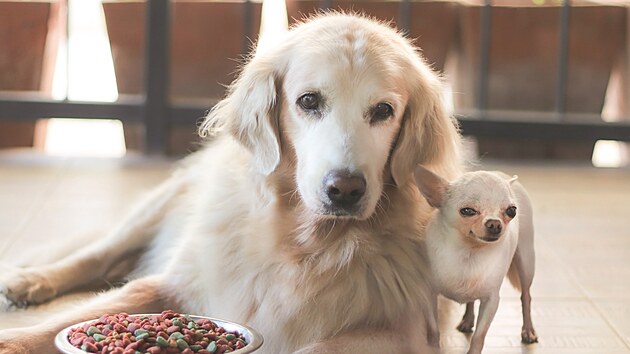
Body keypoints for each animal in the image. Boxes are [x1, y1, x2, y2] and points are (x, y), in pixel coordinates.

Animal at [0, 12, 464, 352]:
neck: (304, 246)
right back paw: (28, 281)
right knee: (98, 254)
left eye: (384, 110)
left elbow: (314, 346)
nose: (344, 190)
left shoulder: (406, 334)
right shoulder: (174, 283)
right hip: (160, 206)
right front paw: (15, 338)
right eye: (308, 101)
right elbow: (84, 312)